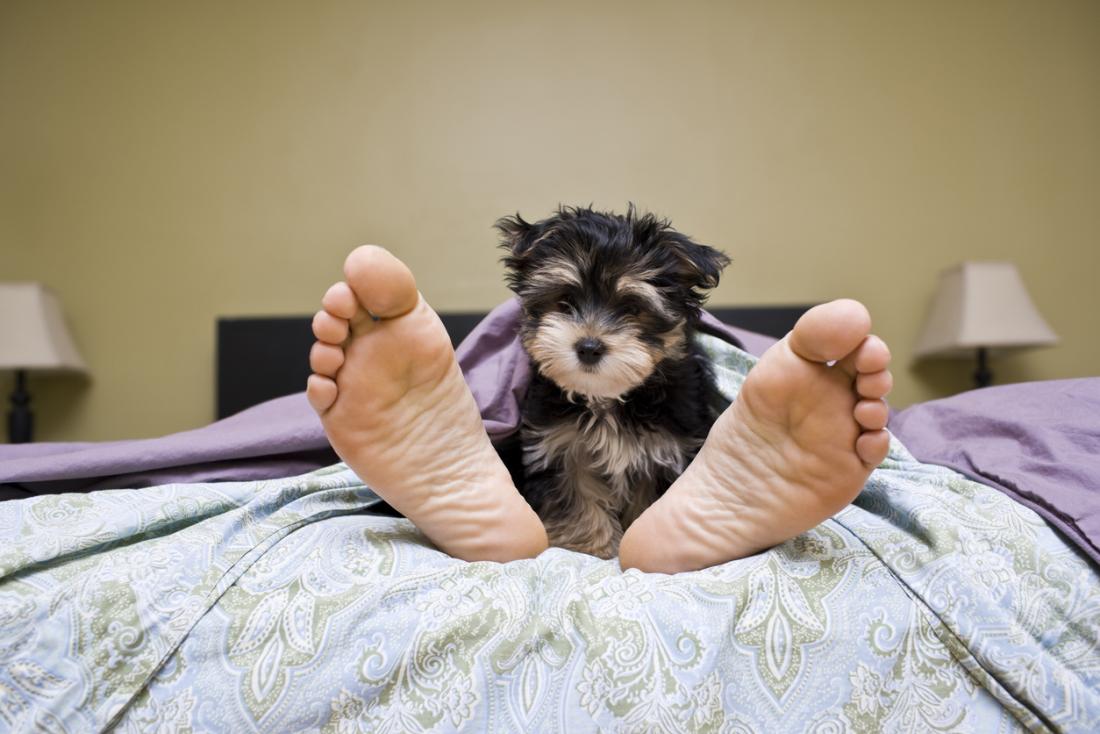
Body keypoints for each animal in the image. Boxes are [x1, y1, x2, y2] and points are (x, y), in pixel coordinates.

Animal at [499, 203, 730, 559]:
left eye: (633, 309)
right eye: (564, 302)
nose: (589, 347)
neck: (607, 398)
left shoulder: (665, 451)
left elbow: (649, 503)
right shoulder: (559, 445)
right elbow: (576, 496)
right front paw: (591, 547)